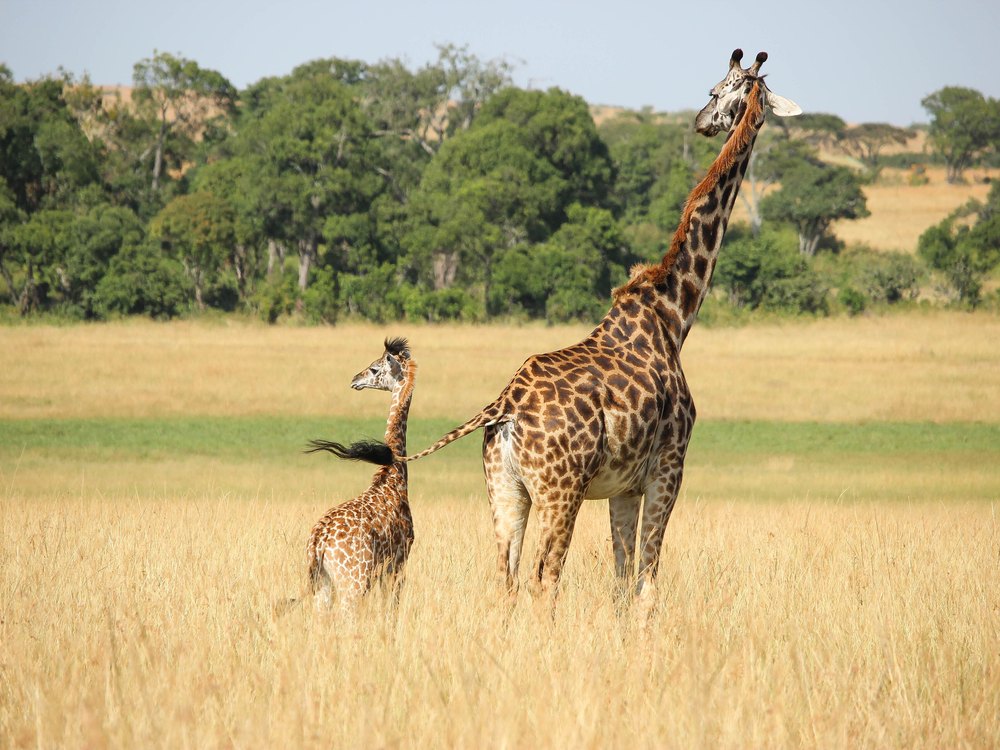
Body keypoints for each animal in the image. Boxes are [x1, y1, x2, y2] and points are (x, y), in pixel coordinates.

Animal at [303, 337, 416, 613]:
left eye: (374, 369)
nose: (355, 379)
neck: (393, 476)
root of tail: (318, 542)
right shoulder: (399, 561)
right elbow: (391, 609)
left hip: (324, 584)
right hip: (353, 583)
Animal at [339, 50, 800, 611]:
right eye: (718, 89)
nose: (702, 122)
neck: (674, 314)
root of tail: (504, 406)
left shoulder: (623, 486)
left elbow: (622, 581)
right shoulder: (669, 467)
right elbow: (647, 581)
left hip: (505, 490)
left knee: (507, 579)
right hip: (562, 491)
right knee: (545, 578)